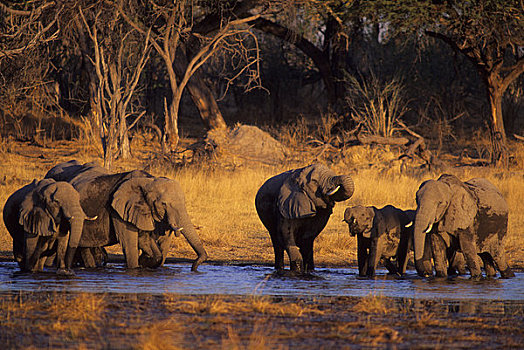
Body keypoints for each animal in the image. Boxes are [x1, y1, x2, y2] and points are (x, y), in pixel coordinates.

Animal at [45, 161, 208, 270]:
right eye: (164, 204)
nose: (193, 268)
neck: (148, 180)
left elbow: (155, 245)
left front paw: (145, 260)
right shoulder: (118, 212)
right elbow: (130, 243)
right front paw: (138, 265)